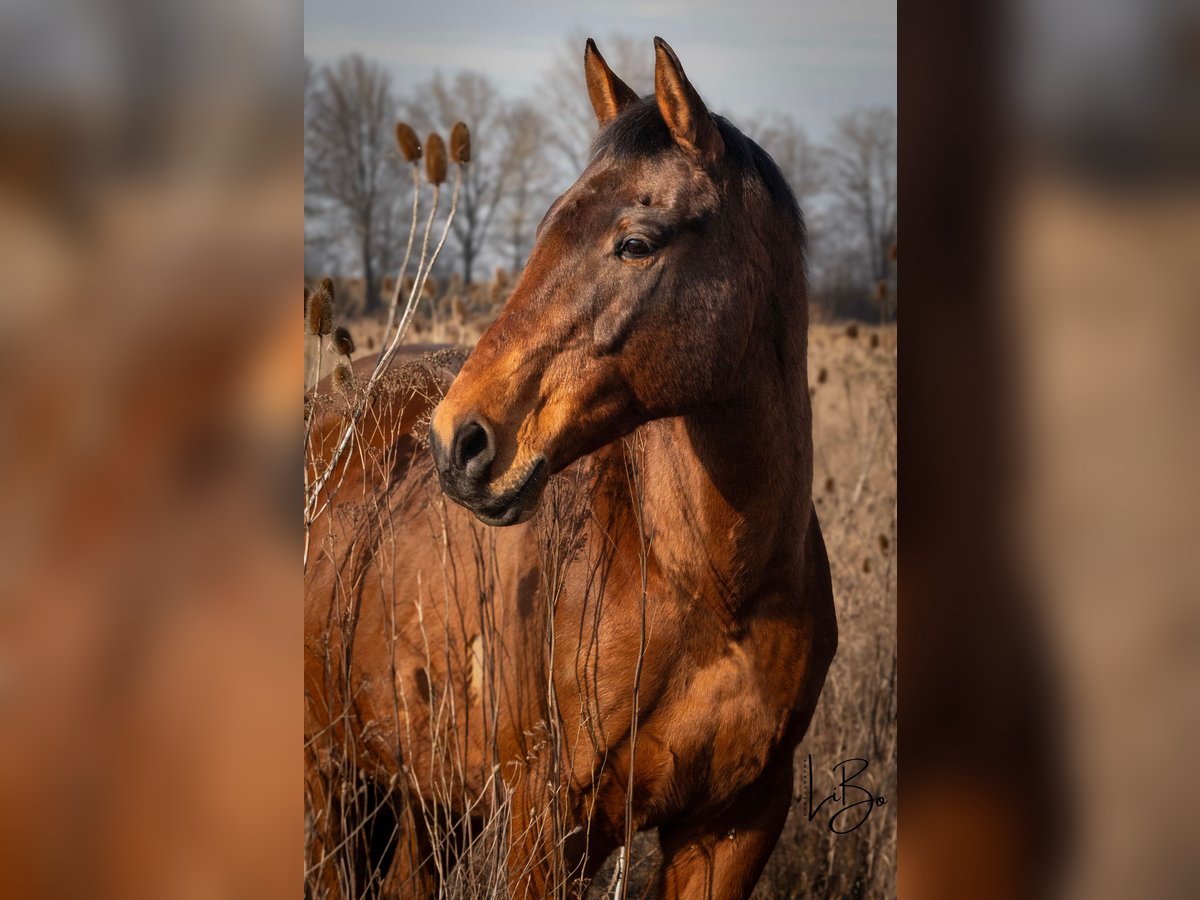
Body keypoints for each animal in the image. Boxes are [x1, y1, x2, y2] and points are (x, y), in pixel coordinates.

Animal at [304, 37, 840, 900]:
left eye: (636, 242)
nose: (458, 441)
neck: (711, 585)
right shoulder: (545, 824)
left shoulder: (735, 825)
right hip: (331, 783)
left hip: (425, 803)